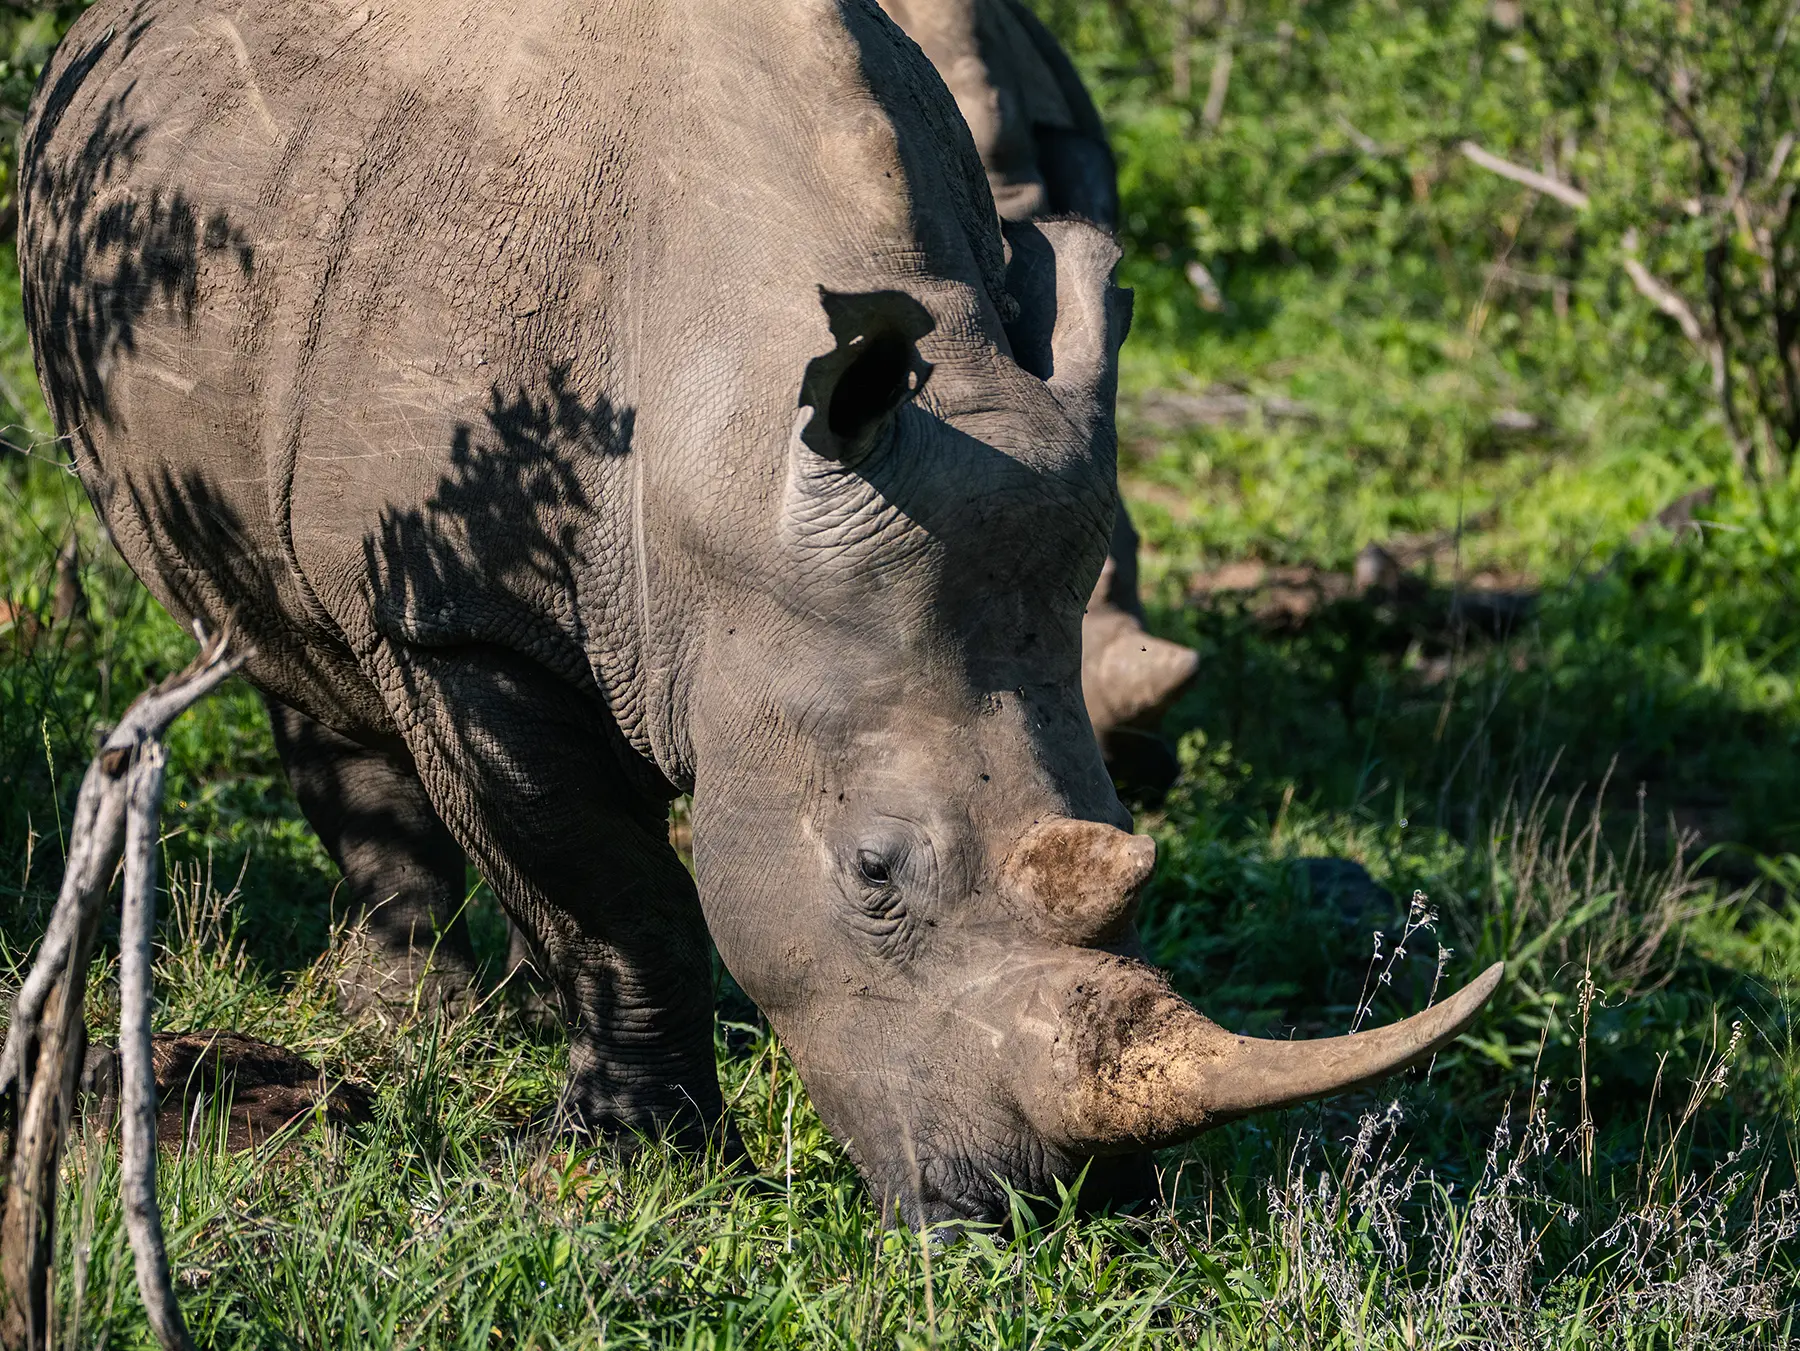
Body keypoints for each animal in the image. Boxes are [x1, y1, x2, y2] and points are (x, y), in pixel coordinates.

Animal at [21, 0, 1499, 1224]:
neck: (719, 458)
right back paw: (425, 1021)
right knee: (283, 639)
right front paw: (640, 1165)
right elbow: (625, 901)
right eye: (874, 873)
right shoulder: (457, 613)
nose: (1064, 1210)